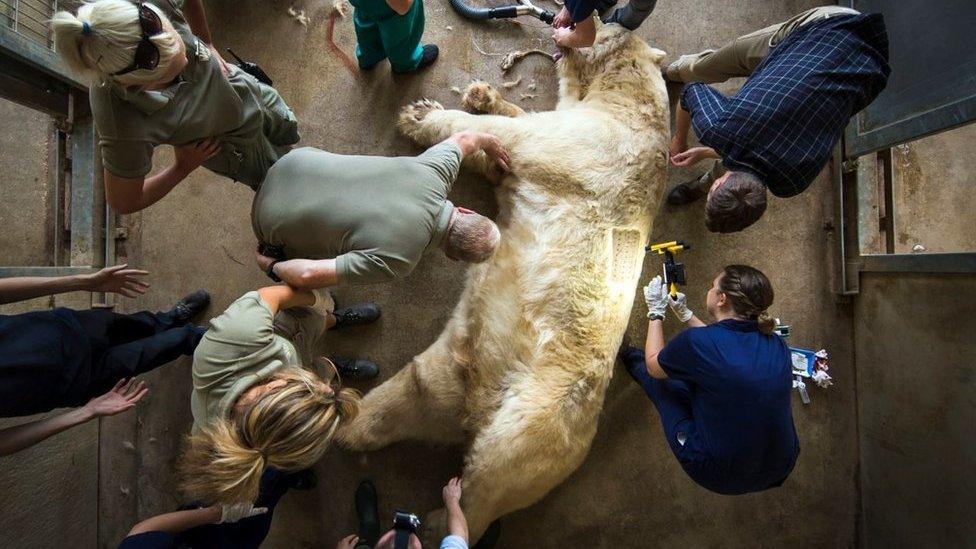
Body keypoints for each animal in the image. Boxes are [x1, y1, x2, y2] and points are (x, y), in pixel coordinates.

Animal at [338, 23, 672, 540]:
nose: (562, 22)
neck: (633, 102)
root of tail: (478, 406)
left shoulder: (598, 143)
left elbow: (514, 139)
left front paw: (421, 114)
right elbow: (505, 148)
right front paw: (482, 94)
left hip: (537, 424)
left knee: (486, 482)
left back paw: (441, 518)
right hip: (454, 365)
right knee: (412, 393)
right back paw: (349, 422)